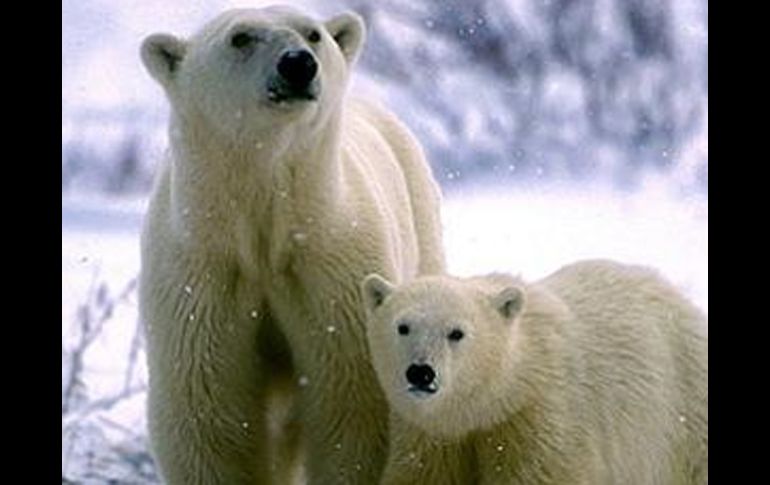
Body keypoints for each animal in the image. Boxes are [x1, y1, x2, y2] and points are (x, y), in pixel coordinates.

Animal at [135, 4, 440, 484]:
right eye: (240, 37)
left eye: (313, 33)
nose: (298, 64)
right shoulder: (202, 275)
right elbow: (209, 409)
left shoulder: (333, 269)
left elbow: (351, 401)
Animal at [364, 260, 704, 484]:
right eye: (403, 327)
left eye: (456, 332)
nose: (421, 372)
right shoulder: (431, 436)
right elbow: (420, 475)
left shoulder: (540, 416)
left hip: (682, 416)